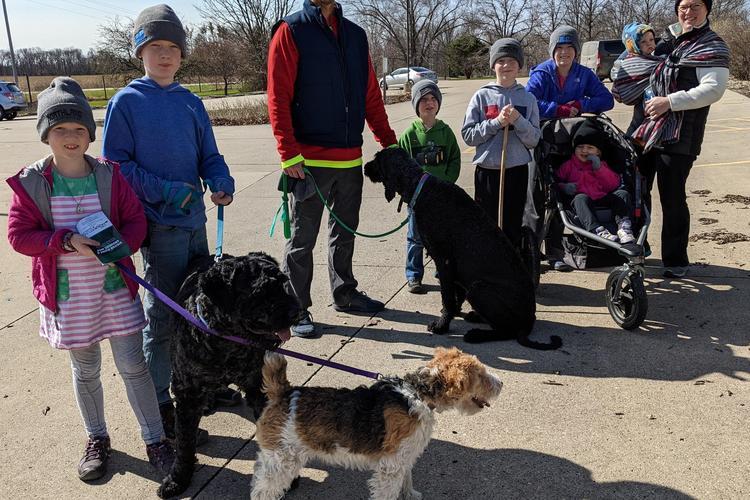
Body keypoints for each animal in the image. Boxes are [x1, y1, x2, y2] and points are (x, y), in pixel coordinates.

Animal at [157, 252, 304, 498]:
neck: (226, 342)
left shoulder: (259, 386)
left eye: (283, 283)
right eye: (261, 292)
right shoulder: (187, 395)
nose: (297, 312)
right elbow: (184, 442)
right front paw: (177, 479)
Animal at [364, 148, 564, 352]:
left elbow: (447, 297)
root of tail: (529, 321)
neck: (419, 187)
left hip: (477, 289)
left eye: (377, 159)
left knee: (507, 331)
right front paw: (452, 314)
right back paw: (476, 317)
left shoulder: (444, 261)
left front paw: (441, 326)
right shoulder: (454, 268)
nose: (364, 167)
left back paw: (476, 335)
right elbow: (455, 296)